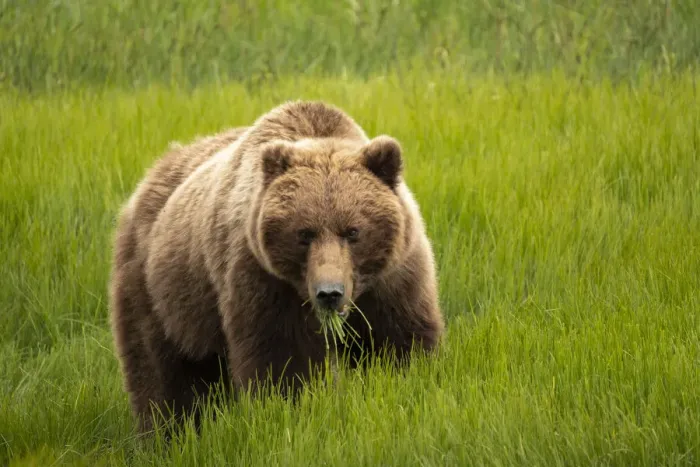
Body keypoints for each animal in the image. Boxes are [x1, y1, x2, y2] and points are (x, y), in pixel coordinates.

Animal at [108, 100, 444, 434]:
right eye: (304, 233)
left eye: (353, 231)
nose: (329, 293)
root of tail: (149, 178)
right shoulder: (263, 280)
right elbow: (283, 361)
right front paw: (293, 409)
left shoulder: (394, 279)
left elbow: (401, 343)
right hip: (160, 290)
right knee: (162, 370)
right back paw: (165, 431)